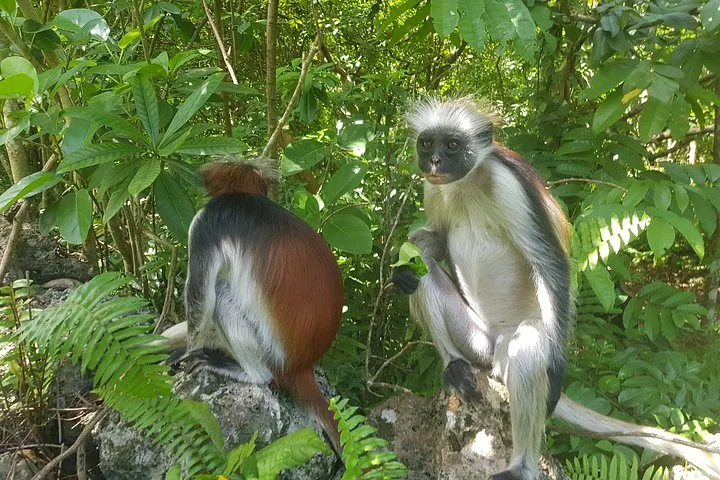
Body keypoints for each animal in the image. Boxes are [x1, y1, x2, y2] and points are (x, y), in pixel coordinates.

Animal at [160, 158, 343, 455]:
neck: (243, 198)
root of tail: (301, 366)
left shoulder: (206, 223)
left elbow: (200, 299)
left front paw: (186, 353)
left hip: (269, 351)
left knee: (220, 295)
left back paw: (251, 374)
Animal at [392, 97, 720, 479]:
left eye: (453, 145)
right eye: (427, 143)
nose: (433, 162)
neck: (468, 182)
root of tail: (492, 347)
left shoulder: (508, 185)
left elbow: (550, 264)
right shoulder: (434, 187)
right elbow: (437, 245)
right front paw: (404, 266)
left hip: (508, 353)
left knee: (531, 341)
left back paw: (522, 464)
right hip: (475, 342)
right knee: (425, 275)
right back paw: (453, 364)